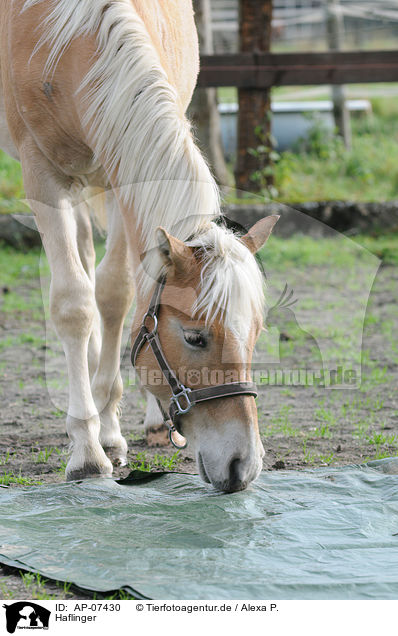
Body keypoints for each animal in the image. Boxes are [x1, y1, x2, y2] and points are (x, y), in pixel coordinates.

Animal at [0, 0, 278, 492]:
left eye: (255, 333)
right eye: (195, 337)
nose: (242, 465)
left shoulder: (124, 177)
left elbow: (117, 294)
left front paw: (108, 429)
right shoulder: (42, 178)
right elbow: (75, 303)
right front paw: (87, 451)